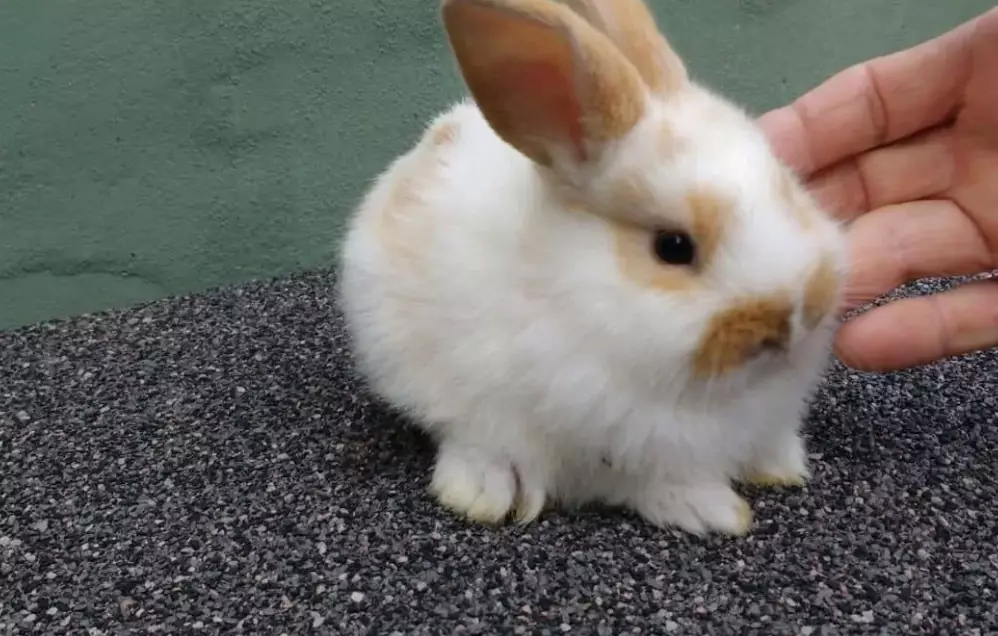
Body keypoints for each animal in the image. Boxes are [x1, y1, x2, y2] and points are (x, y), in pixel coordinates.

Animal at [336, 0, 848, 536]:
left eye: (787, 188)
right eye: (673, 246)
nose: (798, 315)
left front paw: (782, 465)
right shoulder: (607, 448)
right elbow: (652, 486)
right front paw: (713, 511)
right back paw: (482, 488)